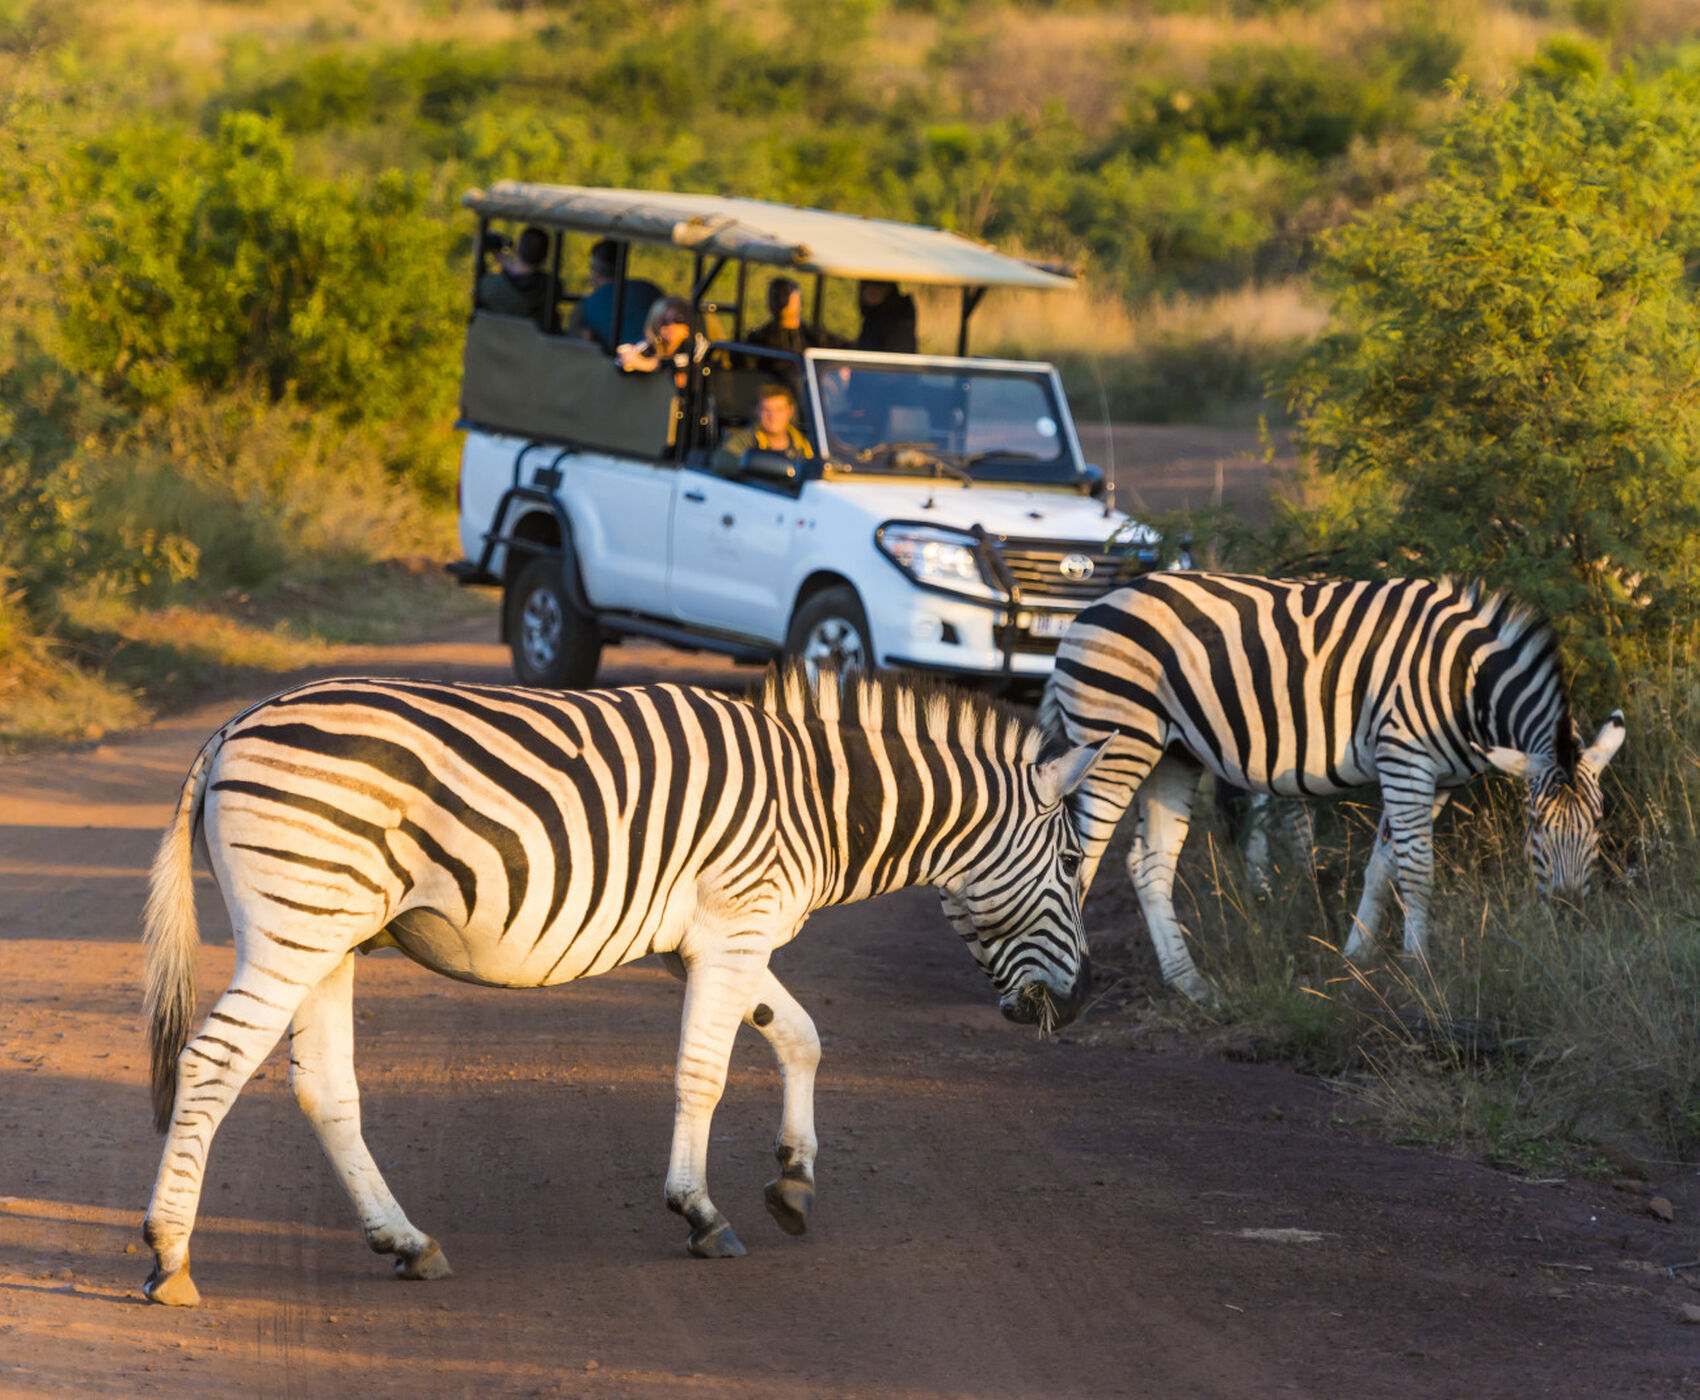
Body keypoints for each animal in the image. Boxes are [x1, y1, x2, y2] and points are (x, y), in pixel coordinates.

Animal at [142, 666, 1101, 1304]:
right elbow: (705, 1073)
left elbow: (800, 1036)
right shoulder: (733, 927)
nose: (1083, 999)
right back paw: (170, 1257)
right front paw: (700, 1212)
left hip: (329, 937)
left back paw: (405, 1242)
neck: (820, 801)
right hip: (295, 924)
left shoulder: (718, 940)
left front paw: (794, 1181)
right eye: (1071, 865)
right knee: (211, 1063)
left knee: (323, 1089)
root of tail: (236, 725)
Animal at [1040, 574, 1625, 999]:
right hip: (1117, 743)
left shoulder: (1432, 779)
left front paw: (1356, 958)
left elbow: (1384, 866)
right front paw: (1418, 969)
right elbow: (1418, 870)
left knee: (1149, 863)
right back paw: (1066, 984)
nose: (1571, 915)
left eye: (1599, 823)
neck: (1465, 685)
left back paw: (1190, 985)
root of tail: (1091, 608)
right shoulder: (1405, 757)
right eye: (1535, 825)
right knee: (1077, 860)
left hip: (1171, 756)